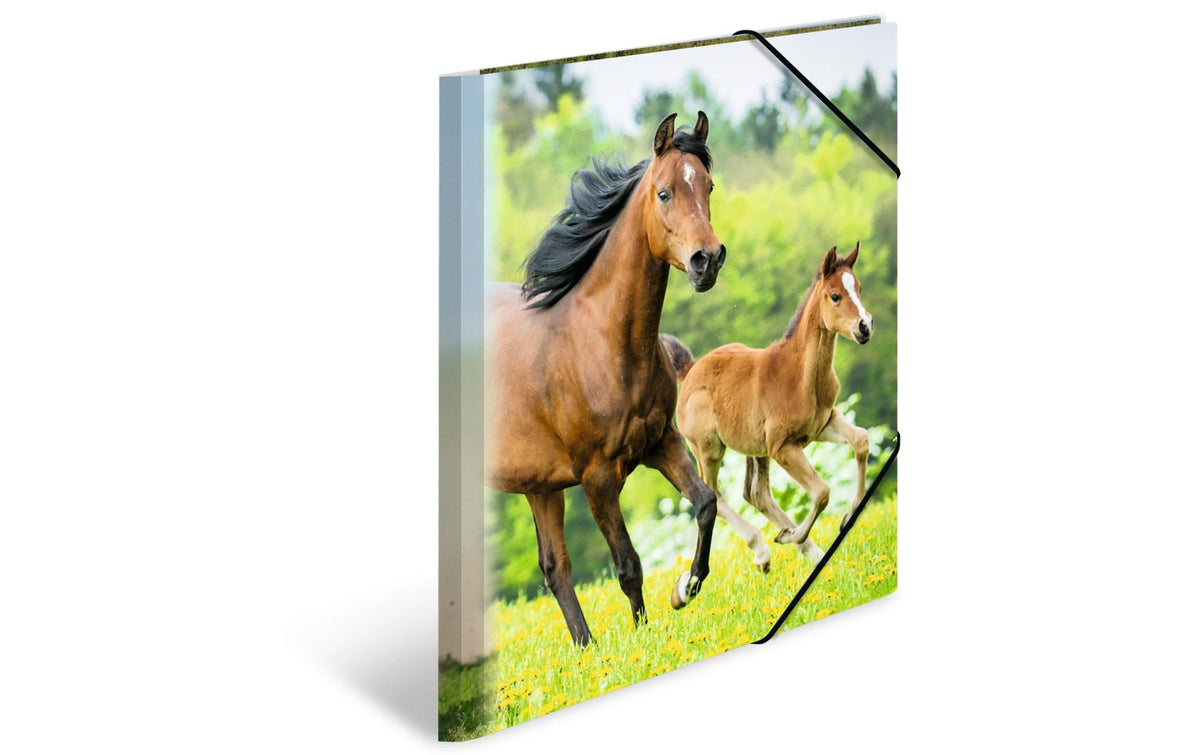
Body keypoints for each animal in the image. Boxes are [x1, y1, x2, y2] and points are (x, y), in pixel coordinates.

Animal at [485, 113, 727, 646]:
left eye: (708, 185)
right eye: (664, 193)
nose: (707, 260)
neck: (602, 344)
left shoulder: (660, 441)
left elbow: (705, 503)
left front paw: (686, 586)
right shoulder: (597, 478)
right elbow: (628, 564)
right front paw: (643, 639)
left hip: (539, 485)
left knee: (555, 568)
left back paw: (586, 648)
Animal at [668, 243, 873, 574]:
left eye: (859, 288)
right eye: (835, 296)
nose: (865, 326)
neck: (801, 375)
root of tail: (690, 370)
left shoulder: (824, 423)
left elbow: (862, 441)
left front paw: (847, 516)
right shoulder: (782, 446)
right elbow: (822, 492)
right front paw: (793, 535)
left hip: (755, 447)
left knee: (756, 494)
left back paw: (808, 549)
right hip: (709, 449)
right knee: (714, 495)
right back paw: (764, 550)